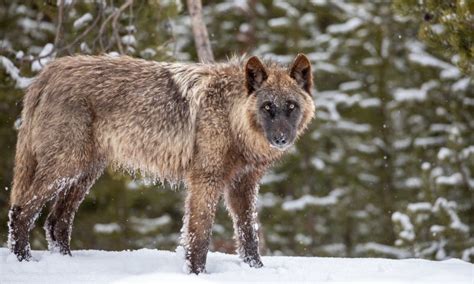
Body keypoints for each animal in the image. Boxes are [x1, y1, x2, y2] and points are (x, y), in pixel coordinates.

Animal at [7, 53, 314, 272]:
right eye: (267, 107)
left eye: (291, 107)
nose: (281, 138)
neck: (231, 116)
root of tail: (48, 72)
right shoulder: (205, 180)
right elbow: (199, 235)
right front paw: (196, 274)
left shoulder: (243, 185)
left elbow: (249, 234)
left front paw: (256, 271)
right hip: (66, 168)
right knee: (21, 211)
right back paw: (24, 263)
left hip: (83, 174)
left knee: (56, 222)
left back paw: (66, 265)